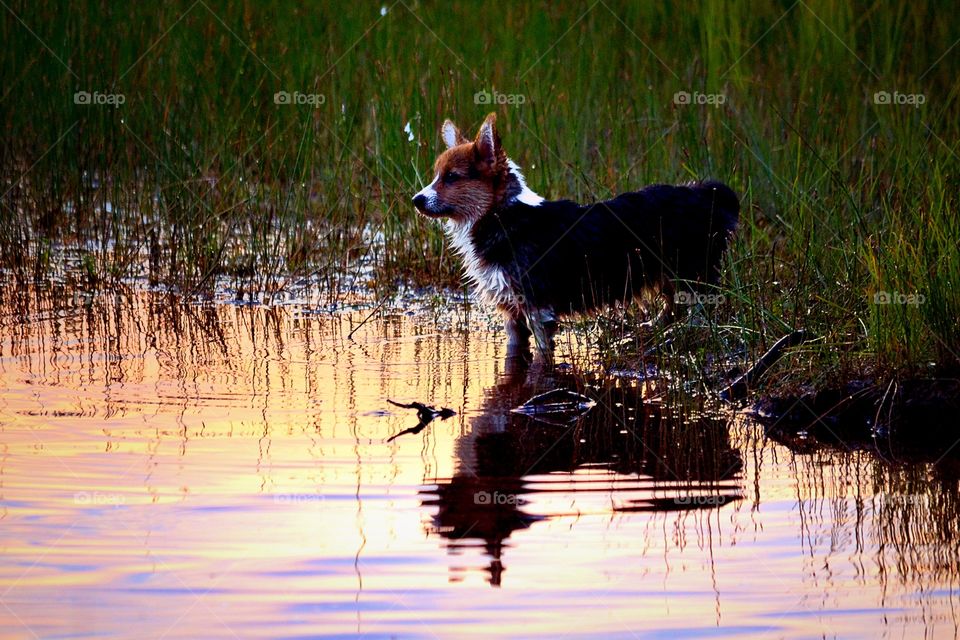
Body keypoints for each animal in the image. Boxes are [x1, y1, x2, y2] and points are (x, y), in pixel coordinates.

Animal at [414, 114, 744, 356]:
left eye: (451, 178)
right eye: (436, 175)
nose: (416, 199)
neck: (503, 217)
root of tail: (708, 194)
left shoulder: (538, 311)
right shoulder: (512, 315)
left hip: (693, 275)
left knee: (700, 314)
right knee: (673, 309)